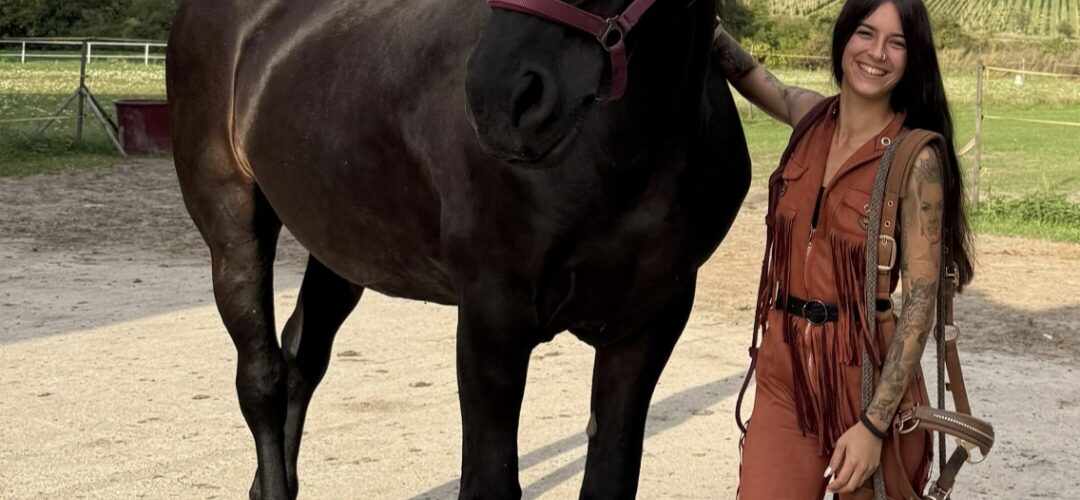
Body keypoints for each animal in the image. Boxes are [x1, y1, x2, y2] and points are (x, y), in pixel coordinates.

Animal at [166, 0, 749, 497]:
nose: (500, 97)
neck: (620, 159)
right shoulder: (492, 320)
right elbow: (488, 483)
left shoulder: (645, 328)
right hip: (234, 232)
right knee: (261, 380)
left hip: (341, 248)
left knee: (301, 358)